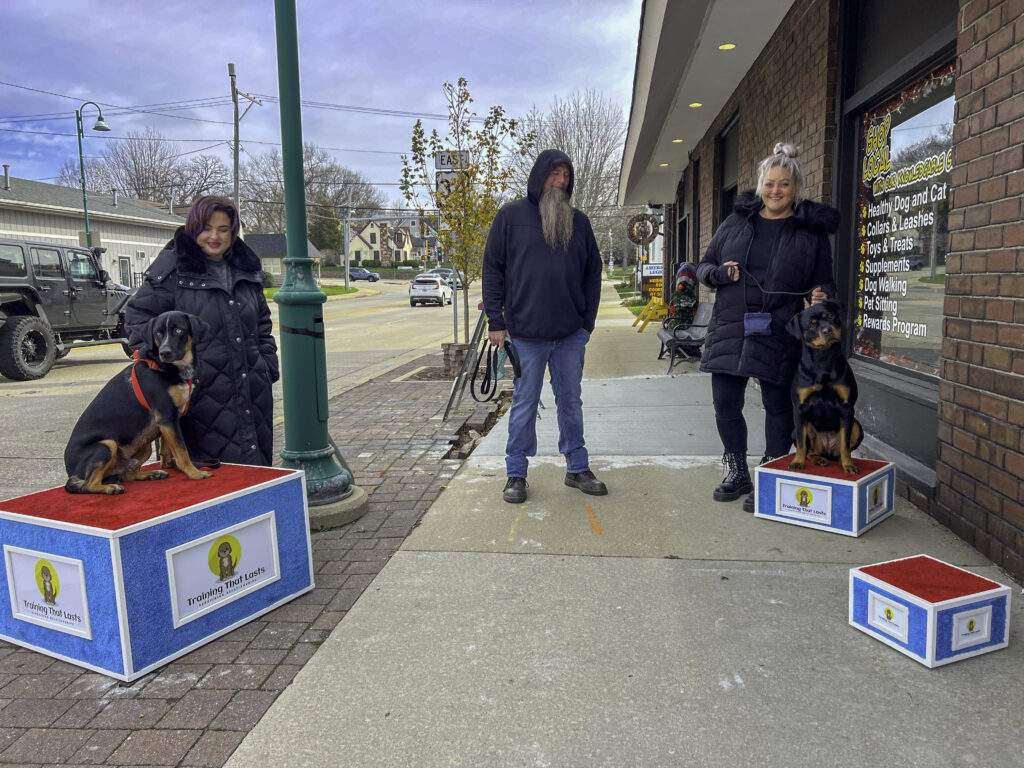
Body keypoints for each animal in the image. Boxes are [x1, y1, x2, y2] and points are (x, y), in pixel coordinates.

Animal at [64, 311, 211, 495]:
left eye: (178, 330)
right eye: (157, 333)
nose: (165, 353)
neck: (166, 367)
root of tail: (70, 471)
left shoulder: (169, 419)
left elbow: (168, 447)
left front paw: (171, 465)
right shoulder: (166, 416)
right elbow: (182, 450)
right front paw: (194, 473)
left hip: (144, 446)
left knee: (128, 475)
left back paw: (152, 474)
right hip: (106, 445)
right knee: (87, 485)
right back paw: (110, 488)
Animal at [782, 301, 864, 475]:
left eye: (831, 316)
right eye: (811, 325)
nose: (827, 330)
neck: (823, 360)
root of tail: (828, 451)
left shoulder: (847, 408)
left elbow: (845, 444)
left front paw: (848, 465)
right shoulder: (800, 408)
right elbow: (801, 443)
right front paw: (797, 462)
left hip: (856, 426)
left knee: (843, 448)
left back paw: (841, 461)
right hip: (801, 429)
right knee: (810, 450)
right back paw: (819, 459)